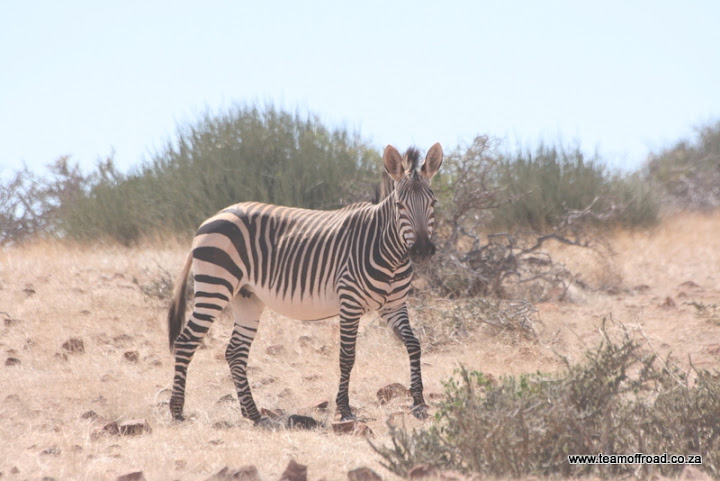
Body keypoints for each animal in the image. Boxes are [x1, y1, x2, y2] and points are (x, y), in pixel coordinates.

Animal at [167, 143, 443, 425]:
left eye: (433, 202)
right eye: (400, 205)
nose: (422, 251)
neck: (388, 253)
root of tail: (214, 217)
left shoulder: (394, 305)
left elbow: (414, 345)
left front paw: (418, 401)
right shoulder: (350, 303)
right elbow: (347, 356)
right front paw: (344, 408)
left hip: (246, 297)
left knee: (235, 352)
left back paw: (253, 414)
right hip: (215, 287)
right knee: (186, 341)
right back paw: (177, 411)